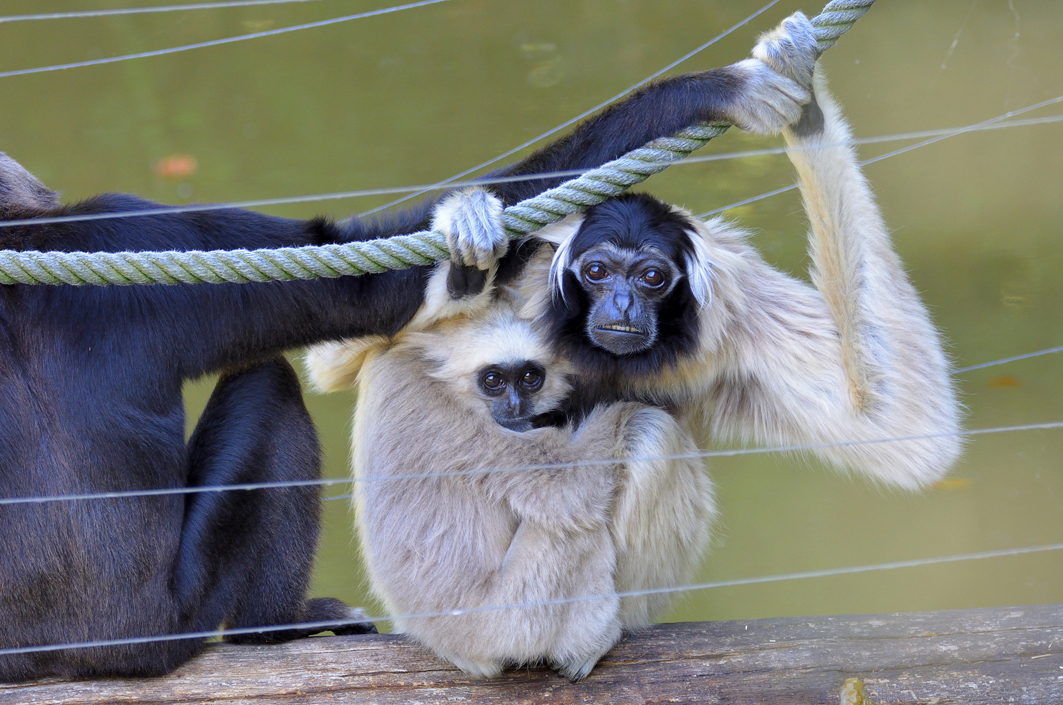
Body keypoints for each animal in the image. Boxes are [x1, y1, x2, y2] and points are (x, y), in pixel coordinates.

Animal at [0, 47, 812, 681]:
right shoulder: (120, 223)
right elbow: (366, 287)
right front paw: (708, 90)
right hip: (177, 620)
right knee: (270, 384)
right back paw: (279, 629)